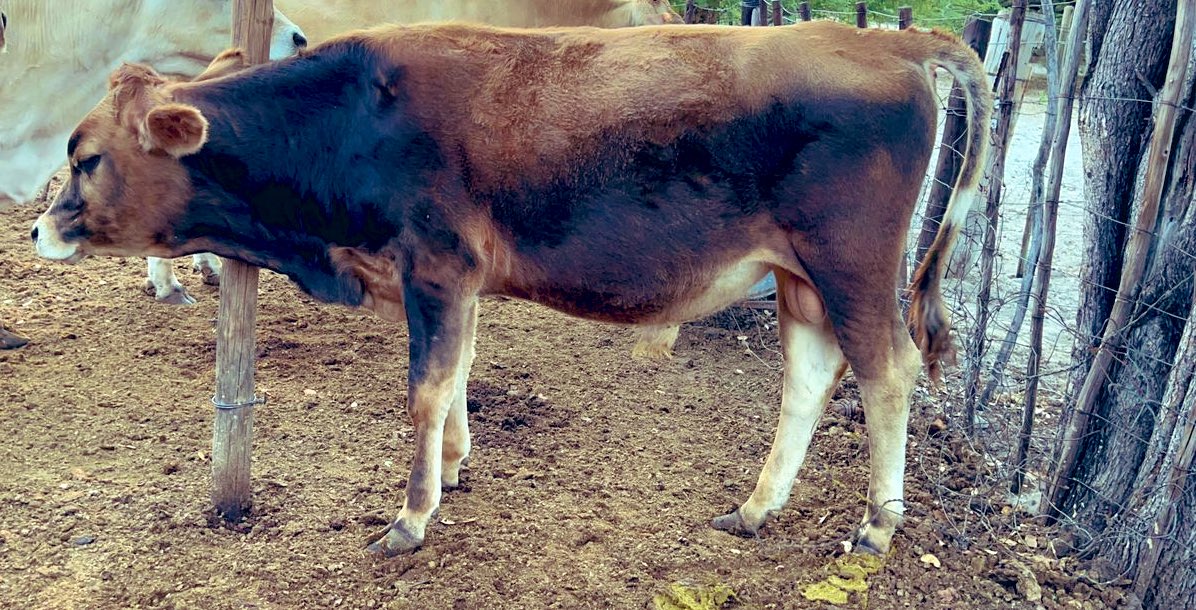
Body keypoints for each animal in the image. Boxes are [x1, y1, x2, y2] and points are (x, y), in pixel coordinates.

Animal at [32, 21, 990, 557]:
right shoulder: (455, 280)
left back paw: (875, 525)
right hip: (800, 277)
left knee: (888, 373)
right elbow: (457, 374)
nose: (39, 228)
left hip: (851, 261)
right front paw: (456, 466)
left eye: (88, 158)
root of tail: (887, 39)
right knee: (808, 378)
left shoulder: (436, 264)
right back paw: (754, 509)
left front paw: (411, 518)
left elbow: (425, 387)